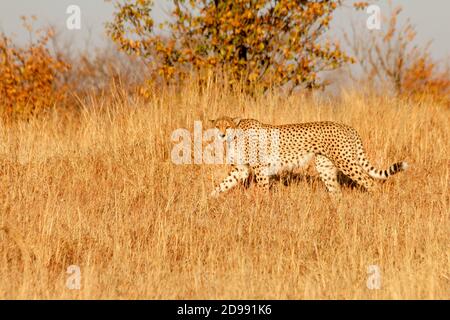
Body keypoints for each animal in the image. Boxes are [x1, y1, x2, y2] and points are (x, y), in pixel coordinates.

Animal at [209, 117, 410, 198]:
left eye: (227, 126)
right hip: (325, 166)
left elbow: (263, 189)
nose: (221, 134)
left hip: (346, 162)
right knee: (336, 191)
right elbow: (223, 184)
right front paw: (208, 200)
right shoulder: (241, 169)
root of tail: (348, 126)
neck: (237, 135)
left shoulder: (260, 169)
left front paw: (263, 206)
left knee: (371, 183)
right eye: (217, 126)